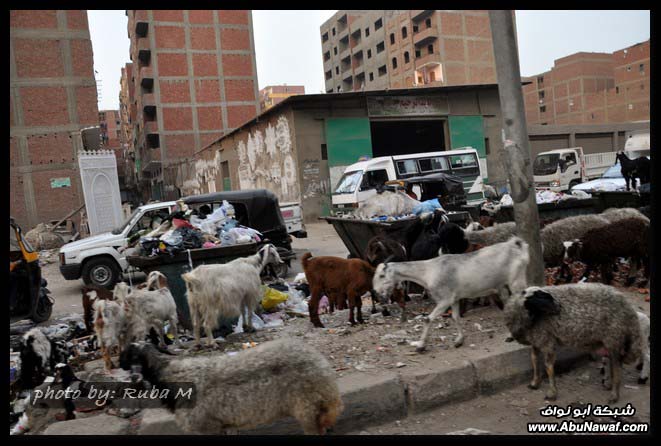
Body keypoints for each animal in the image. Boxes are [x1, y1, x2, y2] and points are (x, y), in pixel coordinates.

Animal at [374, 237, 528, 352]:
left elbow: (427, 319)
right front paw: (459, 341)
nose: (376, 293)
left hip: (516, 281)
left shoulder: (444, 300)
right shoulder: (454, 299)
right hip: (503, 287)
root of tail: (516, 246)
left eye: (381, 275)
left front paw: (420, 346)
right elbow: (455, 317)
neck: (428, 271)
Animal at [502, 284, 640, 402]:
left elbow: (548, 366)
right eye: (541, 296)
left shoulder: (547, 340)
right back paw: (610, 386)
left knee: (617, 367)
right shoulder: (536, 339)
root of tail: (628, 307)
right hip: (612, 340)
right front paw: (534, 383)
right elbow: (535, 360)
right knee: (613, 363)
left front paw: (552, 393)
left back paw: (614, 395)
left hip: (614, 336)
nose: (559, 307)